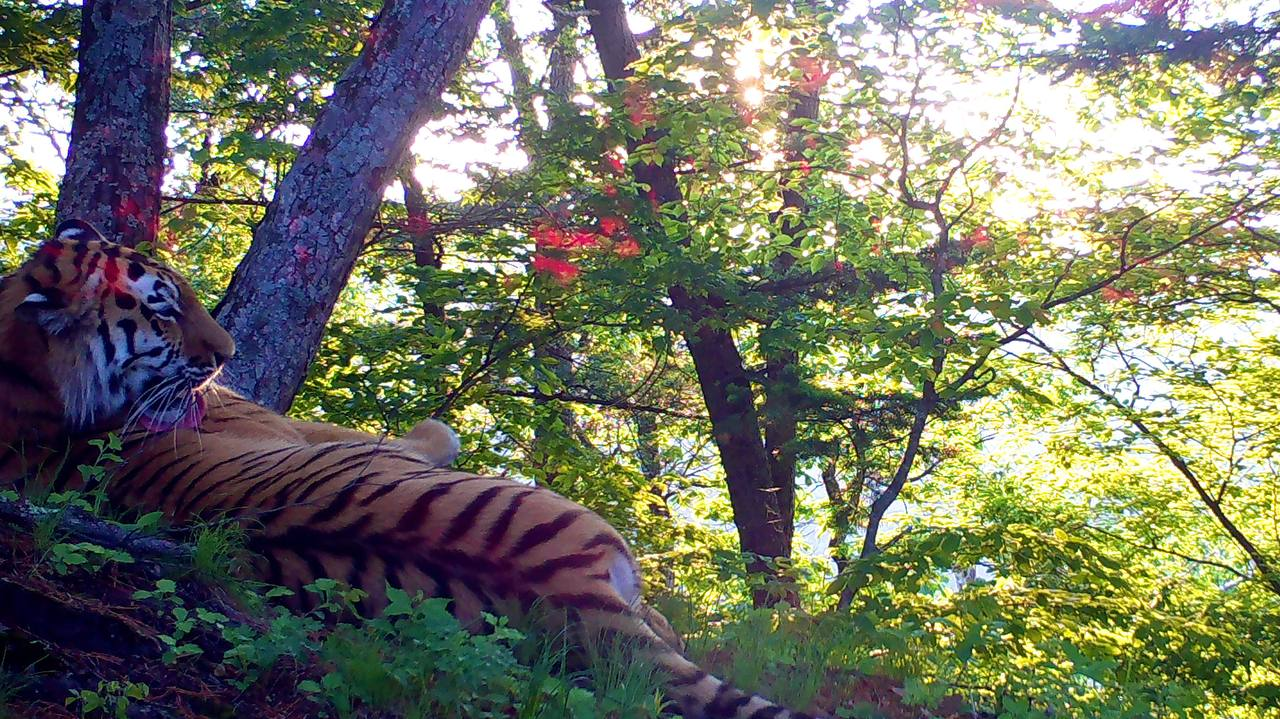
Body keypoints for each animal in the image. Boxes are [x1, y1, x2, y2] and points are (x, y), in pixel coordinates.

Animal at [0, 220, 819, 716]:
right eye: (163, 308)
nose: (228, 353)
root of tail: (571, 597)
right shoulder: (325, 431)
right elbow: (432, 428)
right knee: (662, 629)